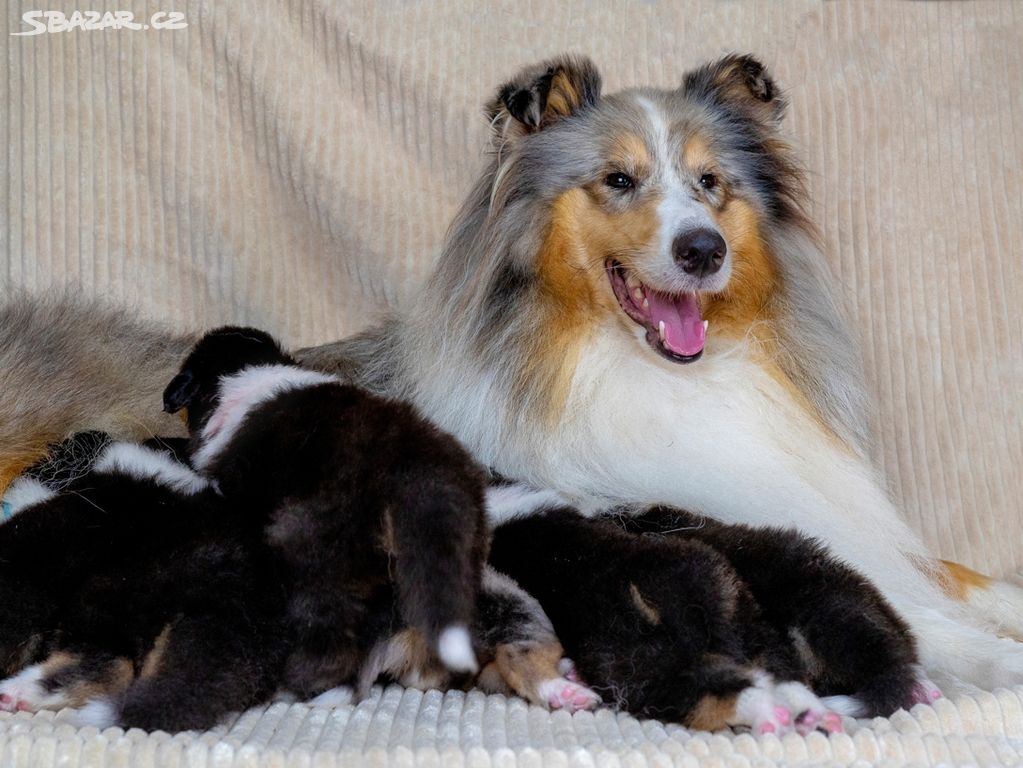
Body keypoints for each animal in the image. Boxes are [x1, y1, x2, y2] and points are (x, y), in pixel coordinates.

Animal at [1, 54, 1023, 691]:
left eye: (710, 184)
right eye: (617, 181)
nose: (702, 252)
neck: (656, 376)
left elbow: (938, 568)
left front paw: (1001, 601)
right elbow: (903, 604)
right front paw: (994, 656)